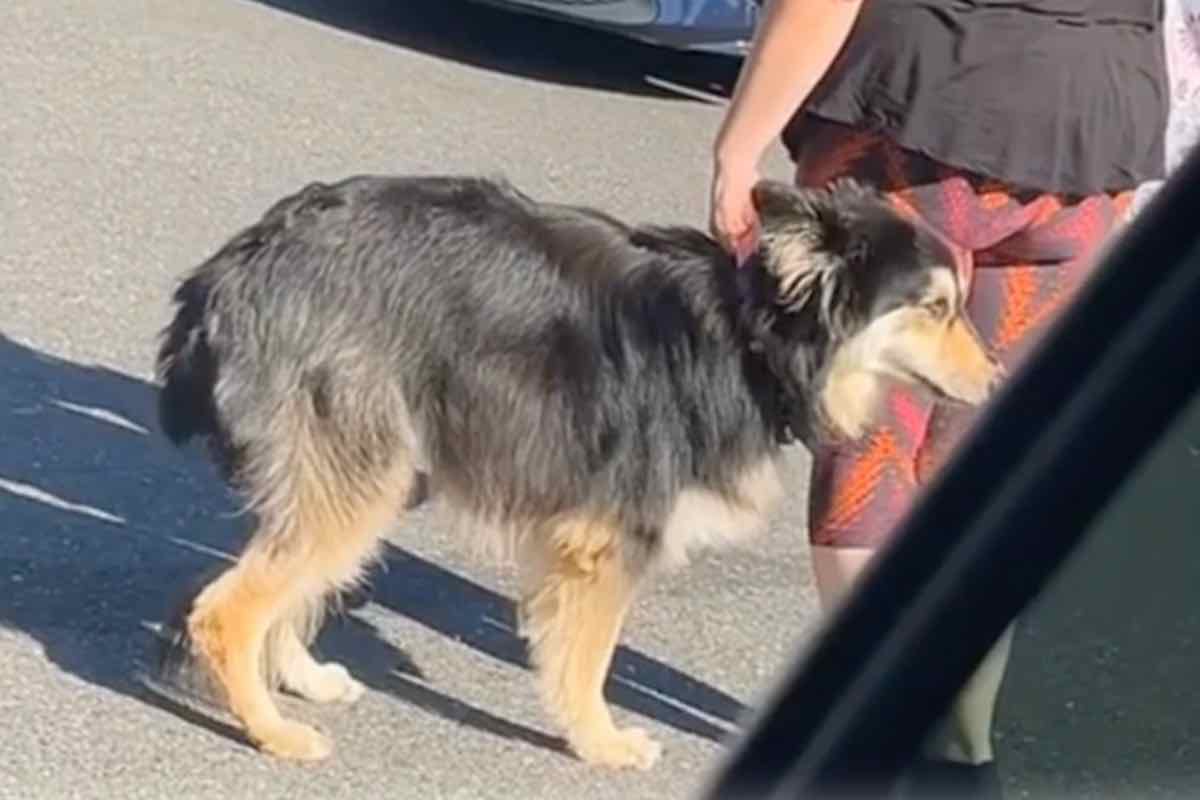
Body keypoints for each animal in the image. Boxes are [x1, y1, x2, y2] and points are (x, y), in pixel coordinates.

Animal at [154, 173, 998, 767]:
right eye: (936, 308)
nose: (994, 383)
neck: (750, 333)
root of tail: (235, 268)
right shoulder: (610, 537)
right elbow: (590, 661)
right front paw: (603, 743)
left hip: (359, 468)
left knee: (285, 580)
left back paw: (299, 676)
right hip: (360, 467)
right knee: (228, 611)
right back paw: (273, 729)